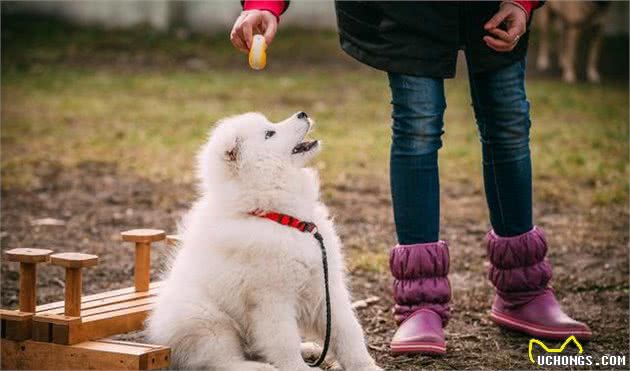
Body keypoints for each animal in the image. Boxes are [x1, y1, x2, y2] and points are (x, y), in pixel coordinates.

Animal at [148, 111, 382, 371]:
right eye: (270, 134)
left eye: (270, 125)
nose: (302, 113)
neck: (283, 218)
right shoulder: (271, 298)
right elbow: (284, 341)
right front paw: (298, 369)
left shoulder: (325, 286)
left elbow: (348, 331)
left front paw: (367, 366)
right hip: (209, 321)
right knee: (223, 361)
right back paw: (262, 367)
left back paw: (308, 349)